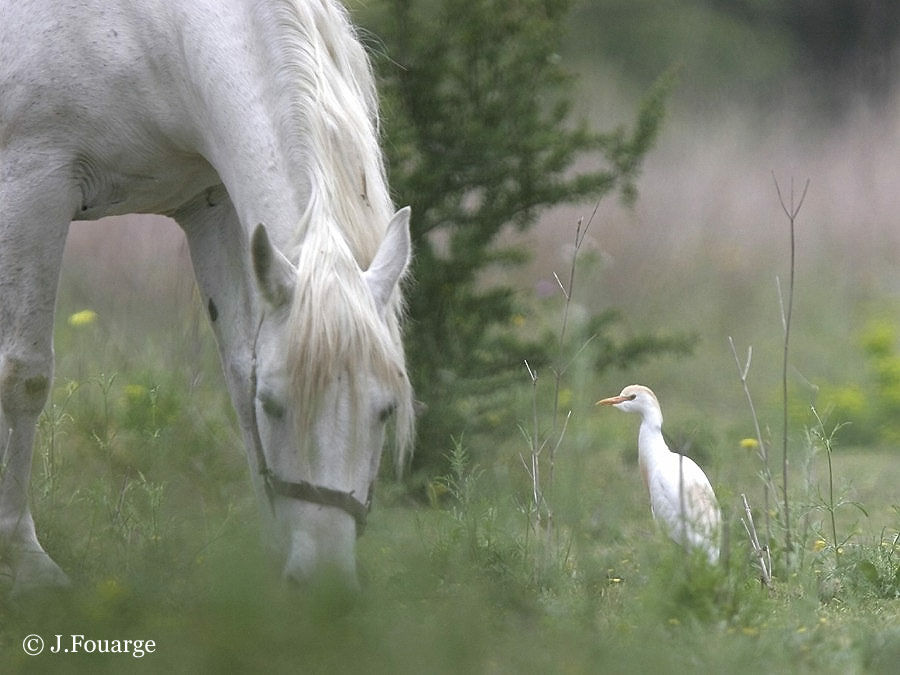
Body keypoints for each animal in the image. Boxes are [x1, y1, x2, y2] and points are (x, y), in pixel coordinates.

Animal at [0, 0, 414, 592]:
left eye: (385, 410)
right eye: (277, 405)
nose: (325, 586)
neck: (146, 27)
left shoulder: (210, 204)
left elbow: (240, 372)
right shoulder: (33, 184)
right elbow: (25, 375)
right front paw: (25, 558)